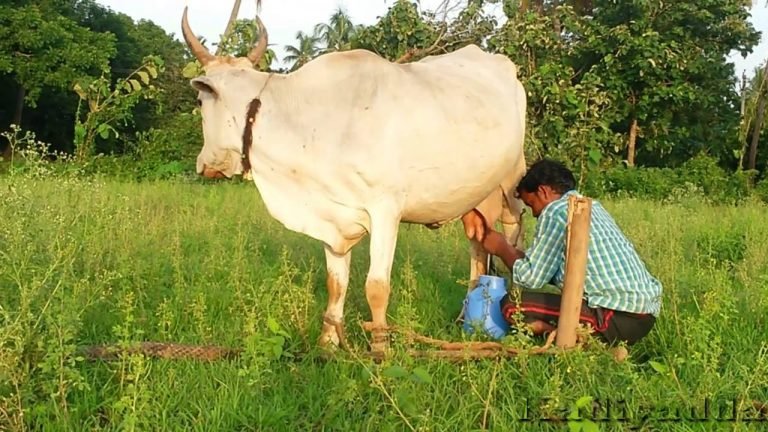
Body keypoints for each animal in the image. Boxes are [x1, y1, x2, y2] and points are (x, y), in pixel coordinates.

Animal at [181, 7, 527, 355]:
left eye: (199, 101)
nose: (205, 165)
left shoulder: (386, 210)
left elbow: (376, 286)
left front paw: (380, 349)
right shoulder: (331, 214)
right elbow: (335, 283)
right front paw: (328, 344)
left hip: (512, 182)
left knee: (514, 238)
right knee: (478, 244)